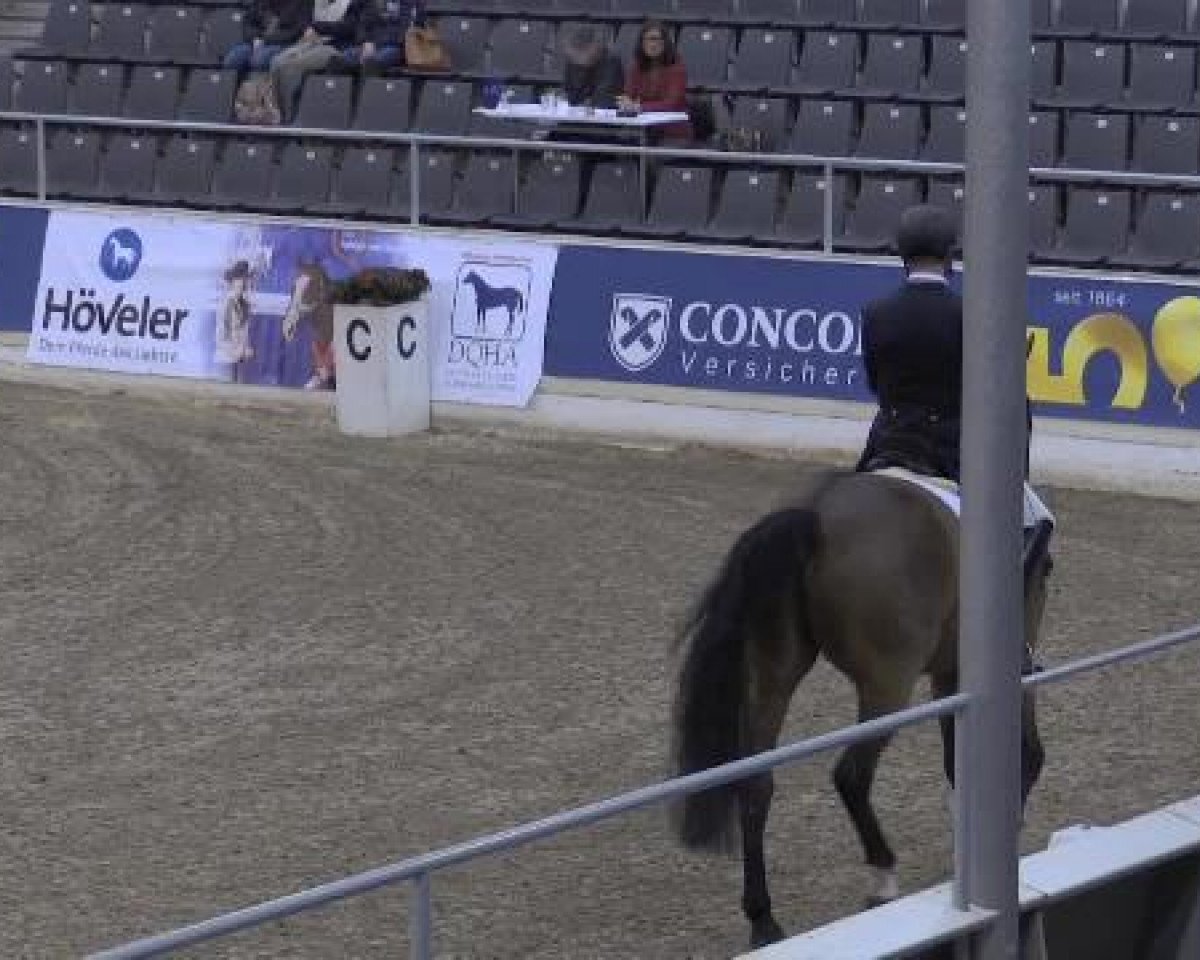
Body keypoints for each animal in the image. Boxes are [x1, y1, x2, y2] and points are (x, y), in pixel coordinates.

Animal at [670, 468, 1053, 950]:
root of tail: (817, 512)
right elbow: (1013, 751)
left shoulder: (950, 676)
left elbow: (957, 756)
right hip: (887, 684)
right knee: (851, 775)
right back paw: (882, 875)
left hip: (774, 673)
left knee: (756, 783)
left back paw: (764, 920)